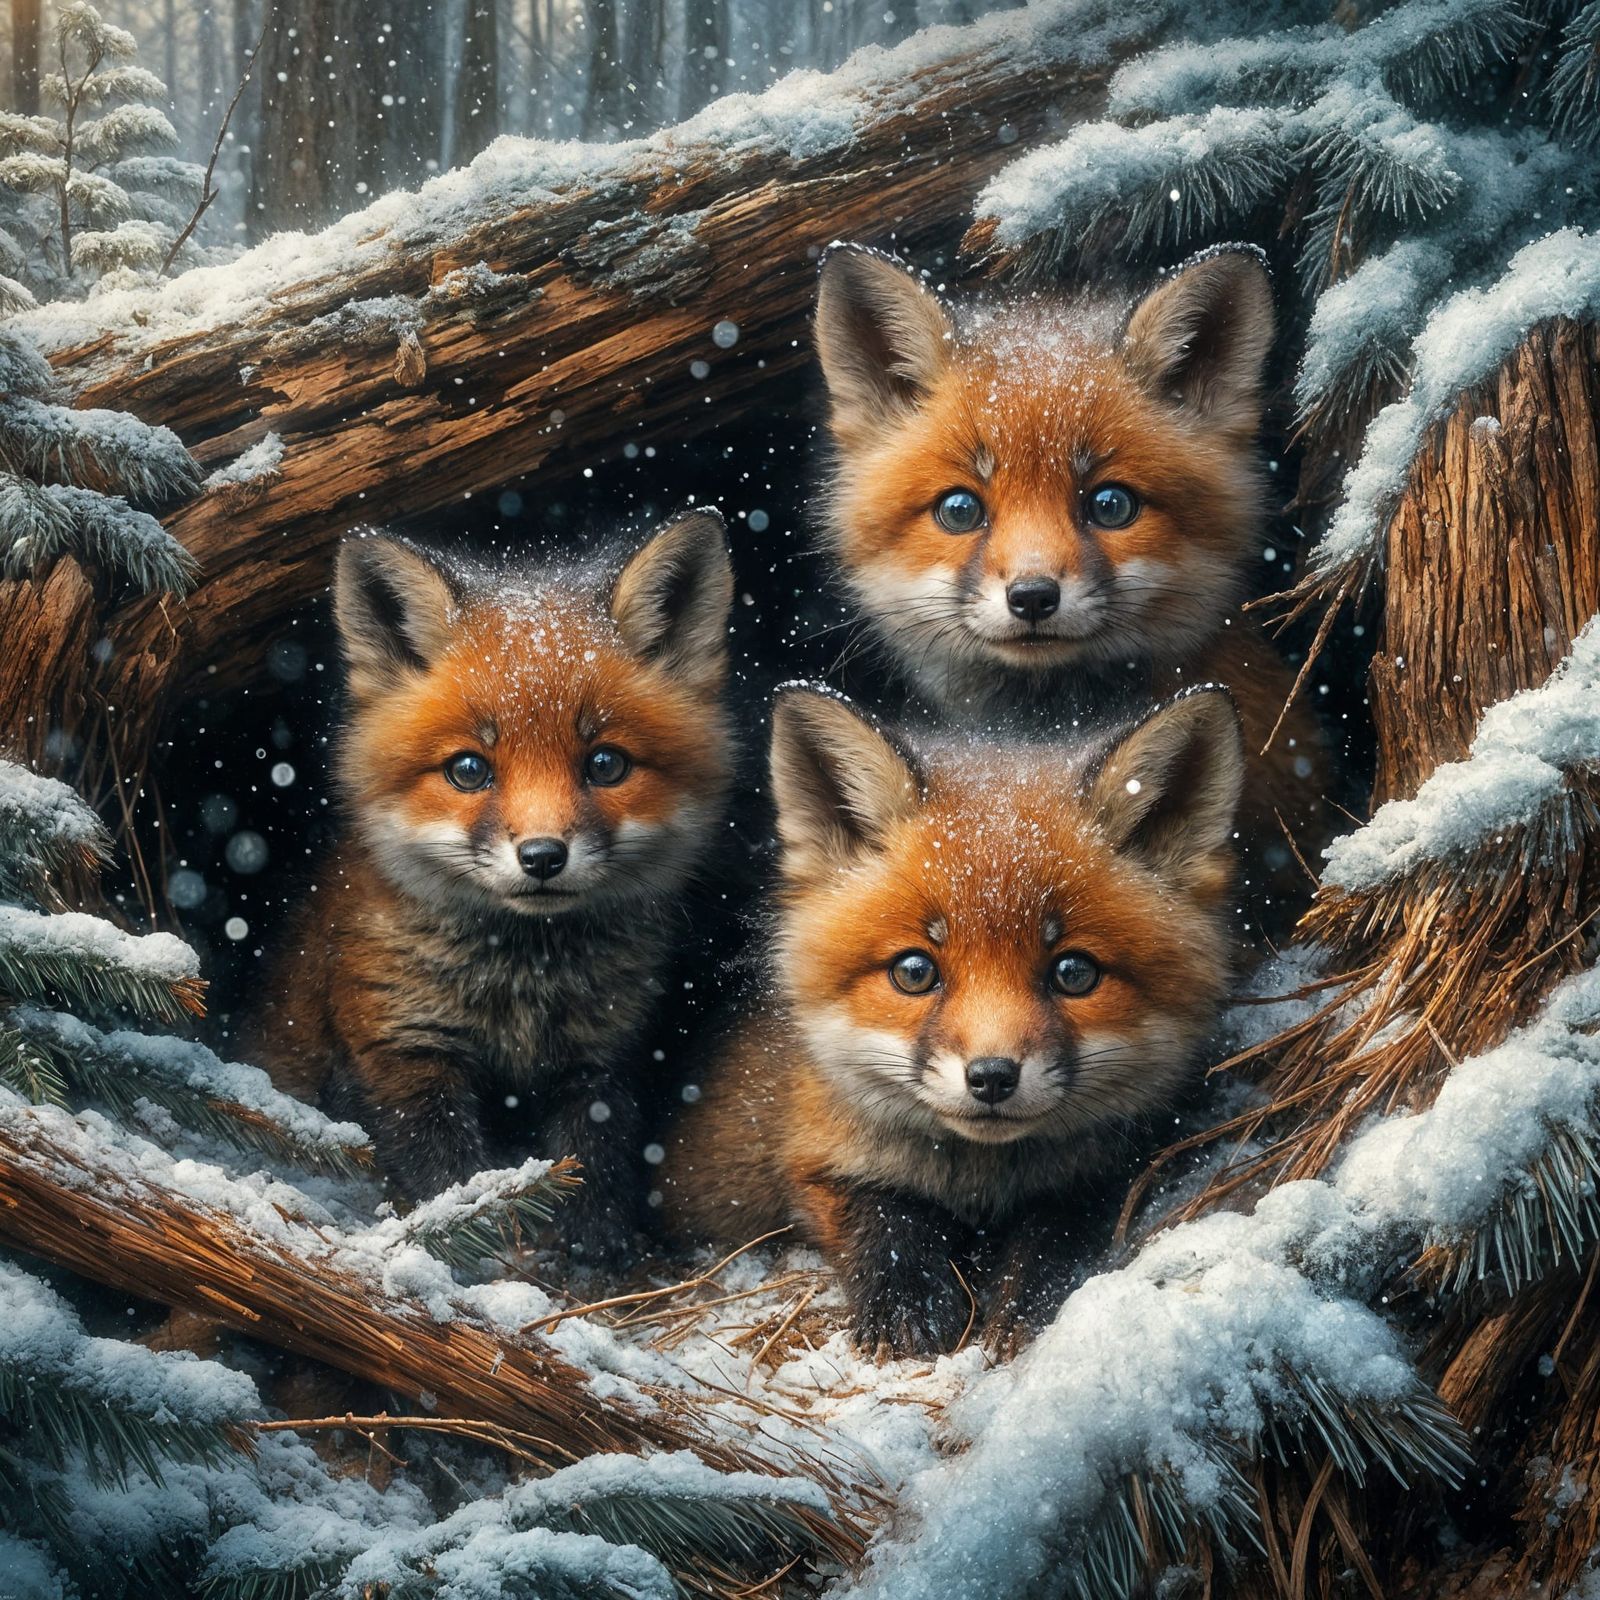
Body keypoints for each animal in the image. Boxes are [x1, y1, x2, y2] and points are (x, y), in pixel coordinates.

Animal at [248, 511, 734, 1261]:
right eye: (470, 769)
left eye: (605, 764)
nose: (542, 856)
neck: (522, 984)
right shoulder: (401, 1051)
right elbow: (450, 1181)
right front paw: (483, 1247)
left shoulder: (601, 1060)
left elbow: (591, 1167)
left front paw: (591, 1256)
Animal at [661, 681, 1244, 1357]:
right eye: (915, 971)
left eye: (1074, 973)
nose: (991, 1076)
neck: (978, 1182)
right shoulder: (807, 1154)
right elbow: (882, 1215)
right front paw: (908, 1307)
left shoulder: (1108, 1175)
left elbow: (1059, 1234)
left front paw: (1028, 1308)